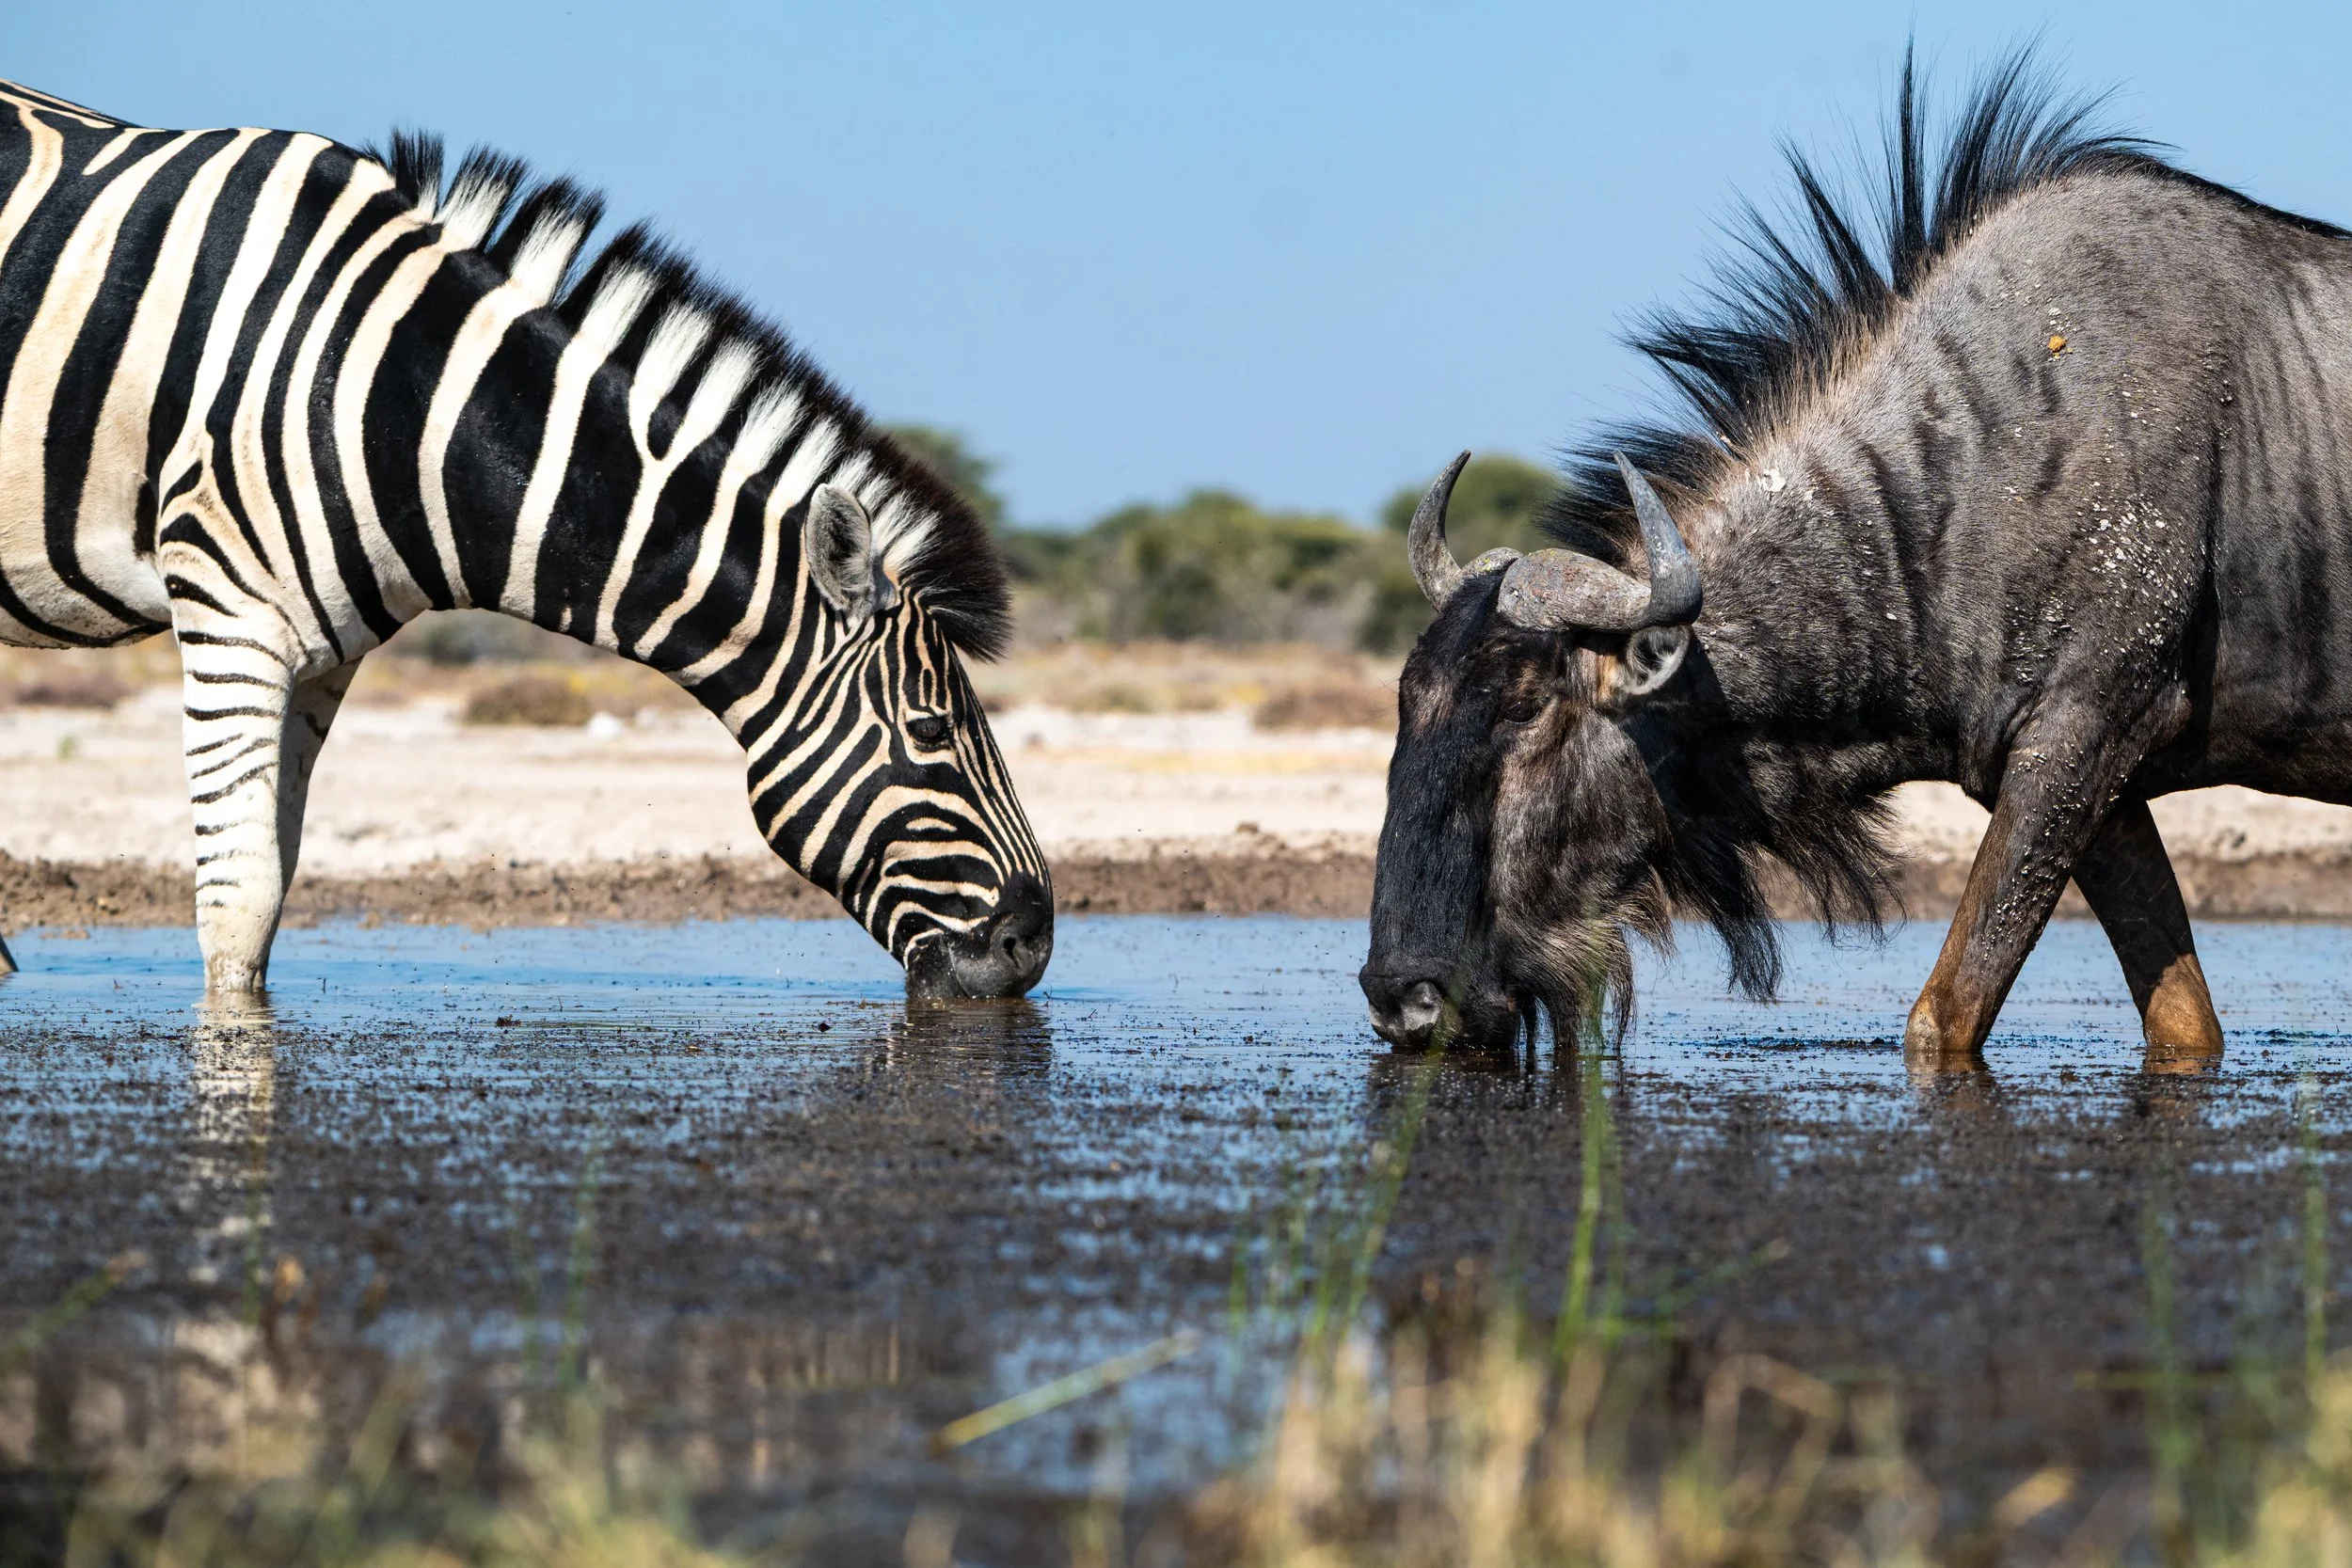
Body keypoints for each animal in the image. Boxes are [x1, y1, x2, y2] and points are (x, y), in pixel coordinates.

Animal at [0, 80, 1053, 998]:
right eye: (931, 730)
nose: (1034, 946)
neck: (406, 400)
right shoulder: (228, 610)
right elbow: (241, 899)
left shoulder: (319, 653)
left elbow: (276, 877)